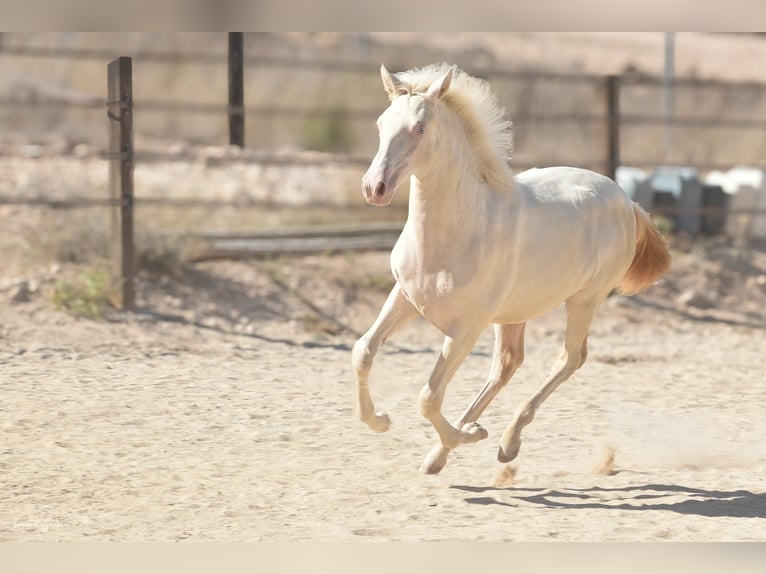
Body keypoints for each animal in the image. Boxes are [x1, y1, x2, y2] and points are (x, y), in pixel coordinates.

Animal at [354, 63, 672, 476]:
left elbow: (429, 397)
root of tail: (628, 202)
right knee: (507, 365)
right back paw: (445, 452)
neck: (457, 229)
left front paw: (470, 436)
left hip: (584, 300)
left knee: (570, 358)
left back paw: (505, 442)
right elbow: (363, 352)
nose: (374, 187)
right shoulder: (405, 297)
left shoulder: (465, 328)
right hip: (514, 312)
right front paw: (381, 421)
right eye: (381, 123)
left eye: (420, 128)